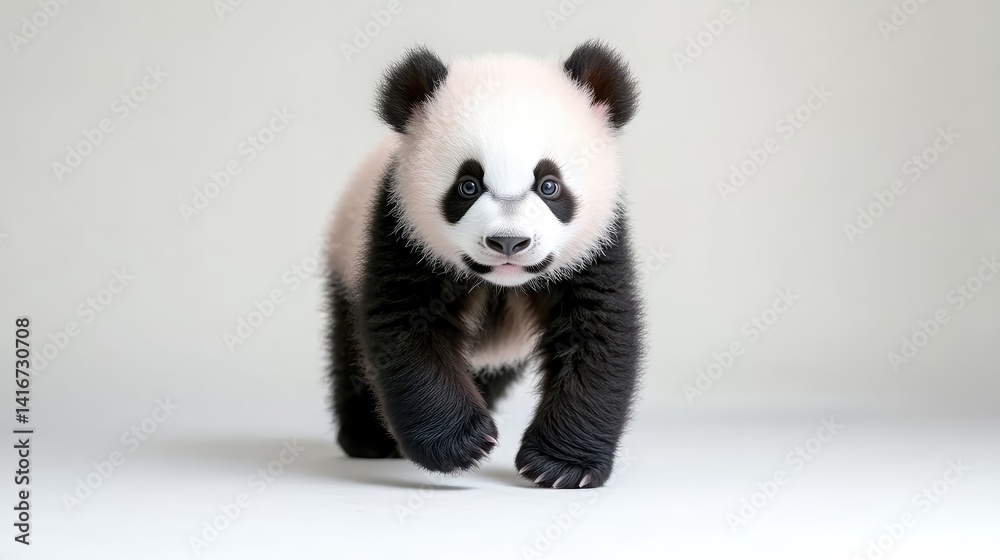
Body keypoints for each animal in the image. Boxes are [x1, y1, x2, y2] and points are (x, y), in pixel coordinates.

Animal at [326, 40, 643, 489]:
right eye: (468, 186)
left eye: (549, 185)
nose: (508, 242)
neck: (500, 283)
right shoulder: (401, 229)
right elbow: (405, 328)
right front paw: (462, 445)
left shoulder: (597, 245)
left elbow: (598, 333)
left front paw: (561, 466)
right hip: (345, 257)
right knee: (349, 351)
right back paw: (368, 438)